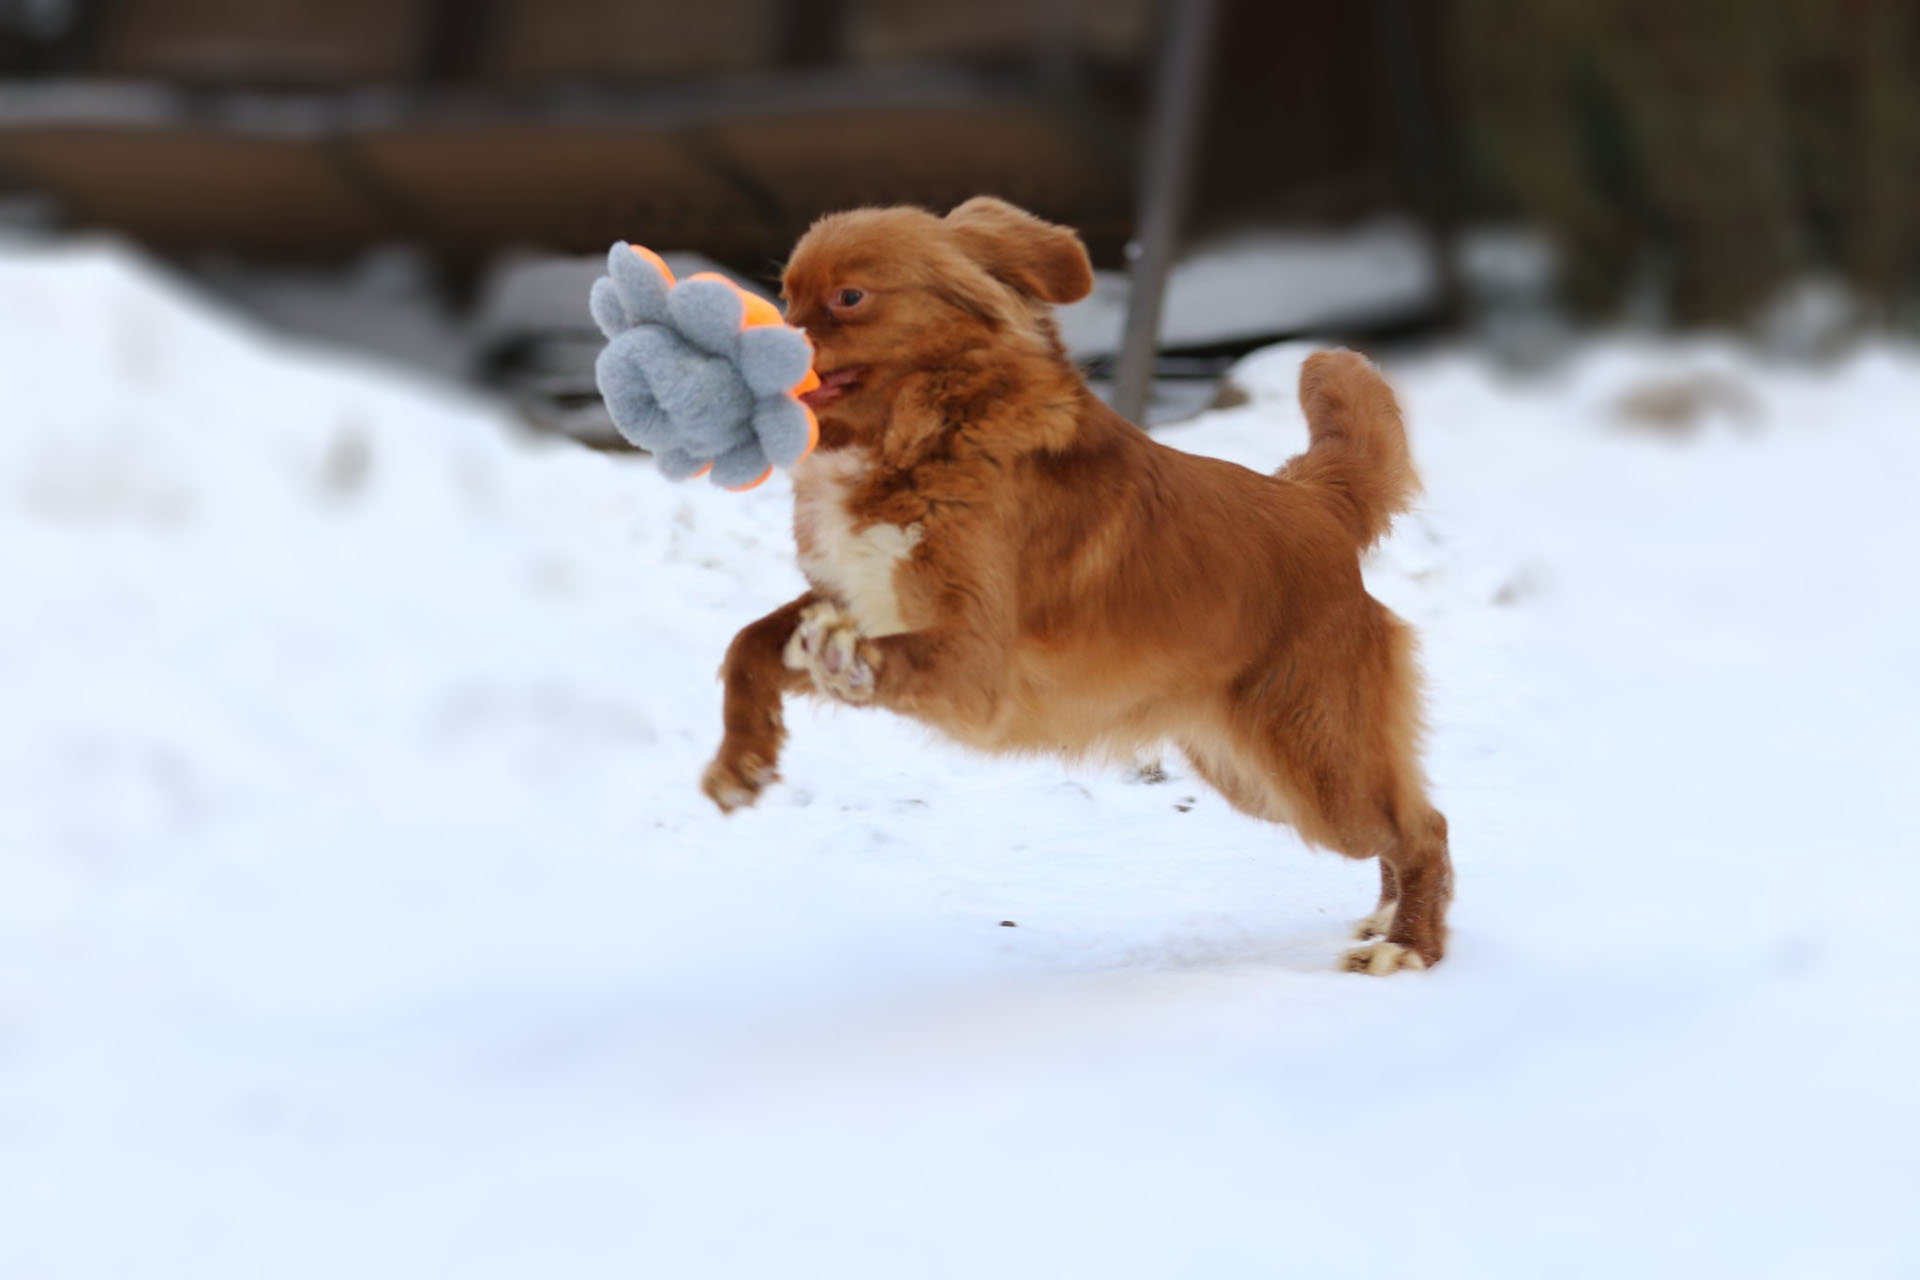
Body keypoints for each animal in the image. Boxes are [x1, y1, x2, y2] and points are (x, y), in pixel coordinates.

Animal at [699, 197, 1452, 974]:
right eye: (786, 295)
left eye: (848, 297)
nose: (744, 342)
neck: (925, 433)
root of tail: (1315, 502)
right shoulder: (852, 594)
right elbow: (749, 642)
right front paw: (742, 757)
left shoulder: (972, 669)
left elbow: (876, 655)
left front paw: (838, 661)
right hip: (1250, 773)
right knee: (1400, 822)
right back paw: (1386, 918)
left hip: (1313, 766)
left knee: (1424, 826)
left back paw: (1408, 946)